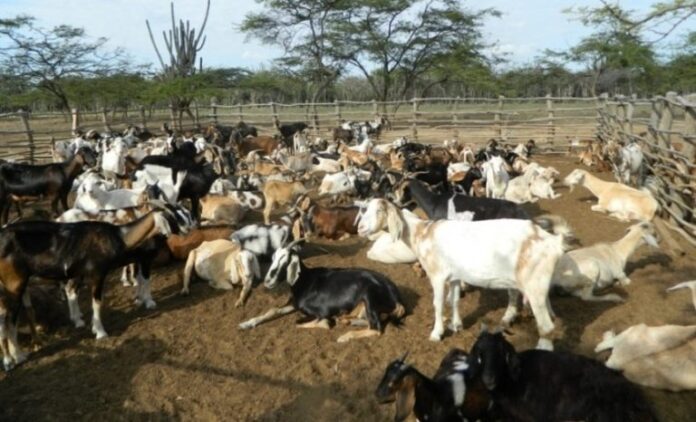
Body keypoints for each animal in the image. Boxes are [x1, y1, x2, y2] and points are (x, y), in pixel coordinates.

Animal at [238, 239, 406, 342]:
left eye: (285, 260)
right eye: (273, 258)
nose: (268, 281)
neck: (304, 280)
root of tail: (397, 297)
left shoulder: (322, 312)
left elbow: (311, 322)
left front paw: (326, 323)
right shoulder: (293, 303)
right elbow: (272, 310)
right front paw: (246, 323)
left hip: (370, 297)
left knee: (376, 328)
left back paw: (345, 336)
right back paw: (345, 320)